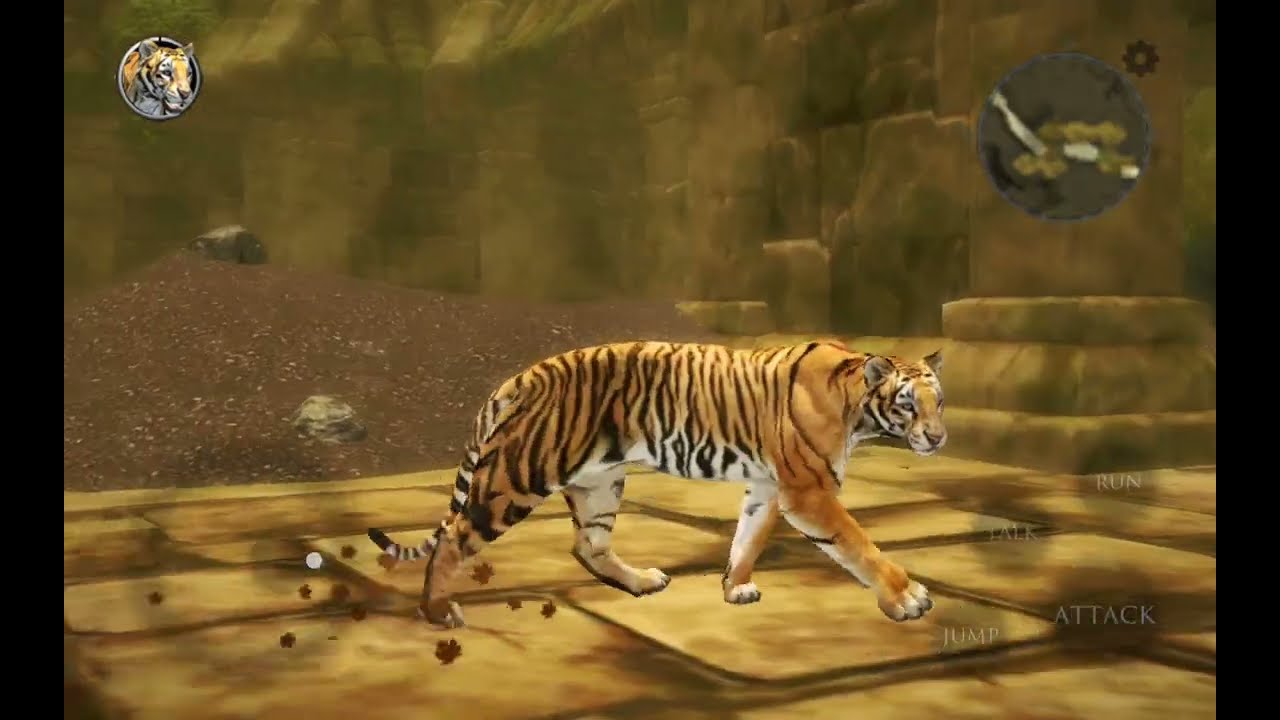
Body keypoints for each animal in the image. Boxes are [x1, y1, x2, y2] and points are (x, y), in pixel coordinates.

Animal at [368, 340, 946, 629]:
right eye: (907, 404)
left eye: (939, 400)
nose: (939, 437)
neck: (857, 408)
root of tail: (524, 376)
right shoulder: (808, 491)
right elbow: (860, 545)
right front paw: (908, 598)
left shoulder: (768, 486)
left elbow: (748, 538)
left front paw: (735, 587)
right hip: (518, 475)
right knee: (453, 537)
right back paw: (437, 613)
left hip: (600, 482)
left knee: (588, 545)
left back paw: (643, 581)